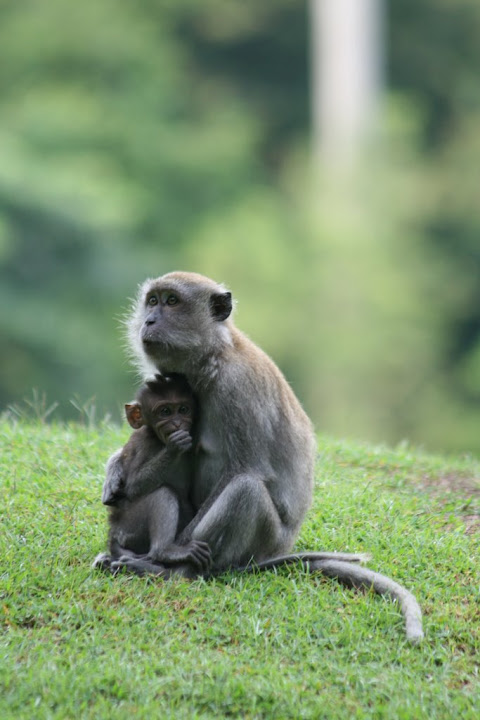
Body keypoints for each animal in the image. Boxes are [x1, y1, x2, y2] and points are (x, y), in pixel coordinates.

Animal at [93, 373, 211, 573]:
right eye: (165, 412)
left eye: (183, 409)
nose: (178, 423)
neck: (158, 439)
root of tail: (114, 531)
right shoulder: (144, 443)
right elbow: (133, 485)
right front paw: (173, 448)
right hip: (129, 528)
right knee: (162, 493)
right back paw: (163, 551)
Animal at [105, 271, 423, 642]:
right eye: (152, 301)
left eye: (172, 302)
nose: (150, 320)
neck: (215, 356)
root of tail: (280, 549)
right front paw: (114, 471)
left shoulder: (237, 390)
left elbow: (244, 469)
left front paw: (169, 552)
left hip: (265, 541)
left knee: (247, 490)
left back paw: (172, 569)